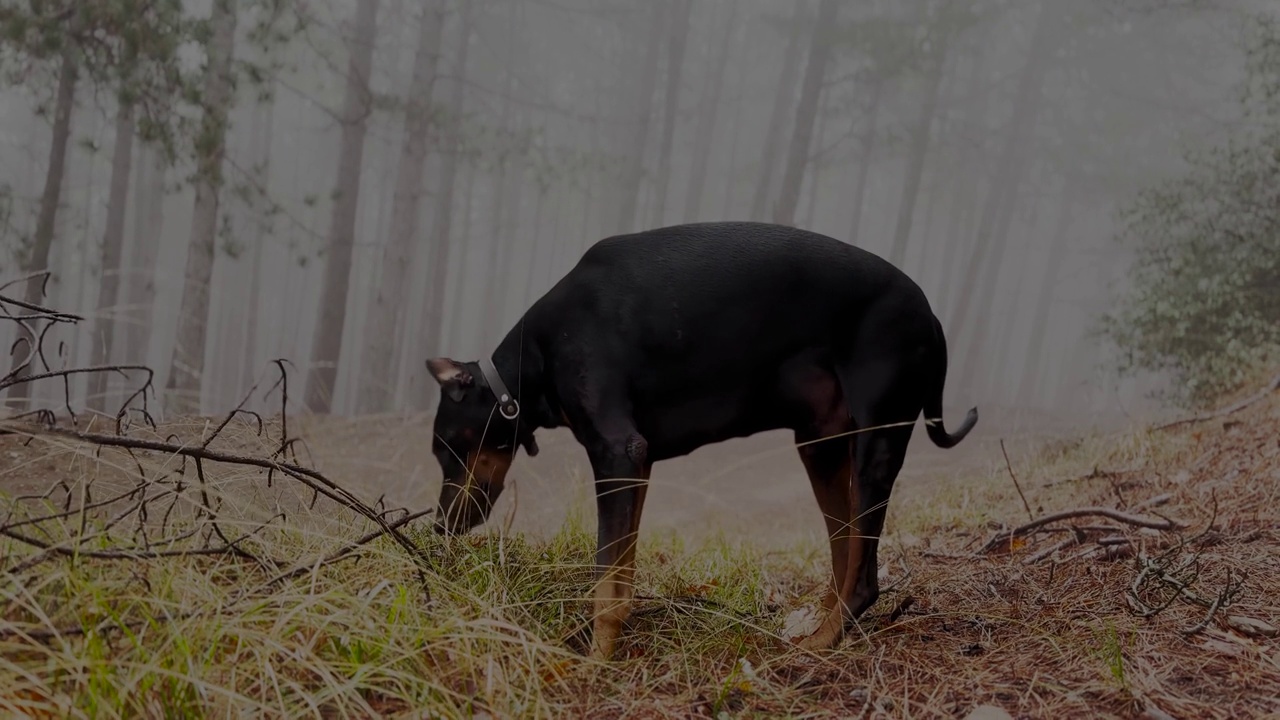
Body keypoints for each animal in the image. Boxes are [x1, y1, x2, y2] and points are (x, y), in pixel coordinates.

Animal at [424, 221, 972, 661]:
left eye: (445, 448)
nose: (441, 527)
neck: (536, 355)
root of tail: (932, 317)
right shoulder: (636, 467)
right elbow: (621, 575)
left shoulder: (617, 452)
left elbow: (606, 589)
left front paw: (595, 664)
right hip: (821, 447)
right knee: (846, 555)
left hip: (876, 444)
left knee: (863, 579)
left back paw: (817, 646)